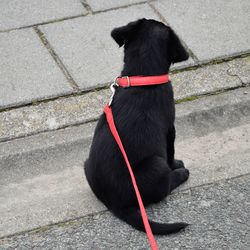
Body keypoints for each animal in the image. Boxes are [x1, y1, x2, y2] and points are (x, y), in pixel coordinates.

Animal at [84, 19, 189, 234]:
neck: (142, 76)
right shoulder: (170, 129)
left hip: (86, 164)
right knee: (163, 187)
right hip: (156, 165)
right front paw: (177, 164)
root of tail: (115, 204)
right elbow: (171, 152)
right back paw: (181, 174)